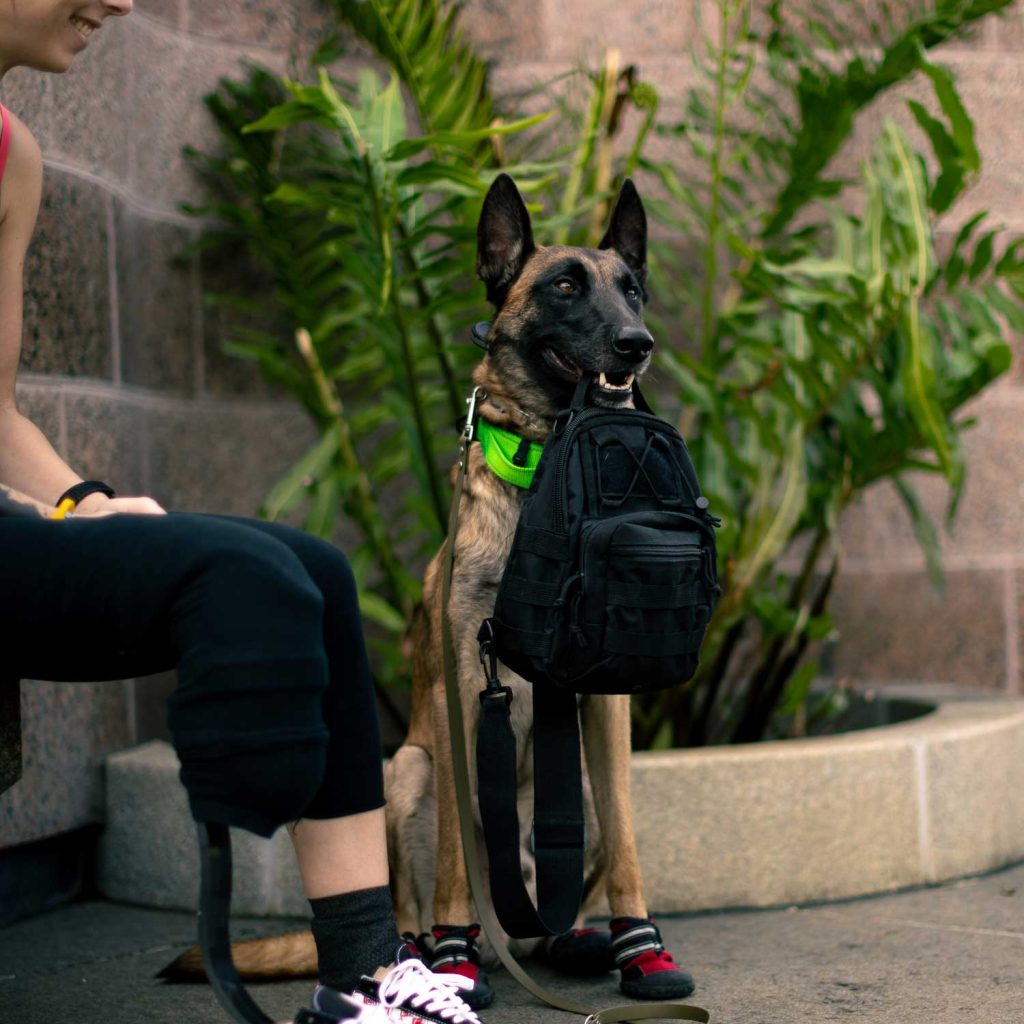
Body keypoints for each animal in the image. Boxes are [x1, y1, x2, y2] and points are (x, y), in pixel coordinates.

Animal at [163, 174, 696, 1007]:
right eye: (565, 287)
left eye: (632, 290)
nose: (635, 344)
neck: (541, 480)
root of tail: (519, 931)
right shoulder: (457, 695)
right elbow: (454, 854)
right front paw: (454, 954)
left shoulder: (607, 708)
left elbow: (629, 845)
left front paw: (641, 948)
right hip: (407, 770)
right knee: (414, 898)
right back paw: (431, 954)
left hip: (568, 789)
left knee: (558, 903)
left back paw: (573, 940)